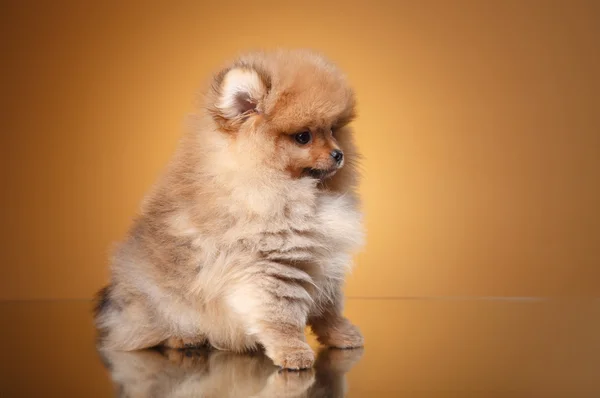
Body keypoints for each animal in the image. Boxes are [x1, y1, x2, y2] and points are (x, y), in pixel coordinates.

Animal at [94, 49, 366, 370]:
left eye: (333, 130)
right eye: (303, 137)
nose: (339, 154)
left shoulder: (324, 261)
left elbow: (329, 310)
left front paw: (342, 335)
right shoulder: (272, 266)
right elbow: (282, 317)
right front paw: (293, 351)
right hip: (155, 303)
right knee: (143, 332)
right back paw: (183, 337)